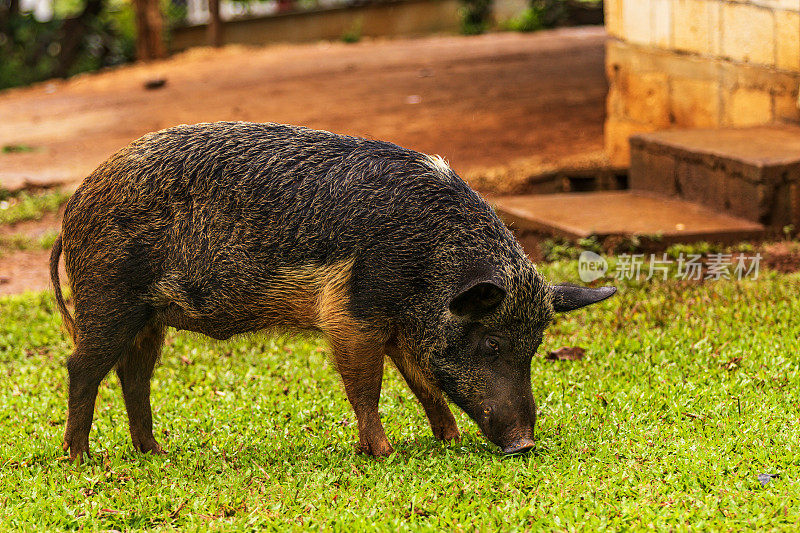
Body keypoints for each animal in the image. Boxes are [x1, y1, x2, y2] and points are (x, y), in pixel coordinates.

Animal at [50, 121, 616, 462]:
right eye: (493, 342)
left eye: (535, 348)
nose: (523, 444)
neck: (428, 262)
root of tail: (74, 207)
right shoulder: (352, 311)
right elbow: (367, 385)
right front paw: (383, 453)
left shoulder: (402, 327)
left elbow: (422, 382)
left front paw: (449, 440)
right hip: (108, 295)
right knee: (82, 366)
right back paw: (79, 458)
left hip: (148, 315)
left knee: (133, 373)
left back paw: (156, 453)